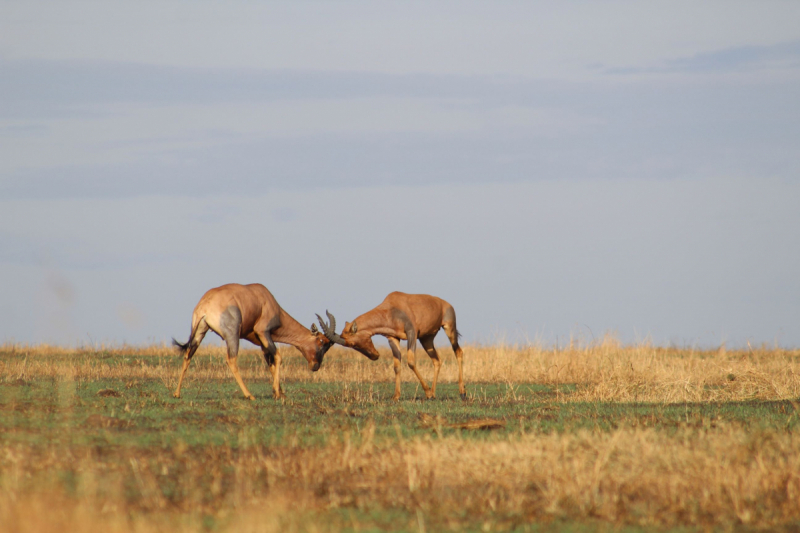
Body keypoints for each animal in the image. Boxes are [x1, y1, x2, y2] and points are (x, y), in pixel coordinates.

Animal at [172, 282, 338, 400]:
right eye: (322, 341)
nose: (315, 366)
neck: (265, 298)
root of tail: (204, 305)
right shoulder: (263, 332)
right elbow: (278, 357)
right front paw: (277, 392)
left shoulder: (262, 342)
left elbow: (271, 363)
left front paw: (279, 393)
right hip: (232, 335)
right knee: (231, 360)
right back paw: (249, 395)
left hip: (199, 332)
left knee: (187, 356)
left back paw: (177, 393)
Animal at [318, 290, 466, 400]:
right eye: (348, 345)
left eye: (353, 343)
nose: (375, 356)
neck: (392, 308)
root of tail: (446, 304)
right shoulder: (393, 339)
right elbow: (396, 366)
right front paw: (396, 396)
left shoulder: (412, 334)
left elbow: (411, 362)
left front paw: (427, 393)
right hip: (426, 339)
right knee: (436, 360)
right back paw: (434, 394)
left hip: (449, 328)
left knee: (458, 352)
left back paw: (462, 392)